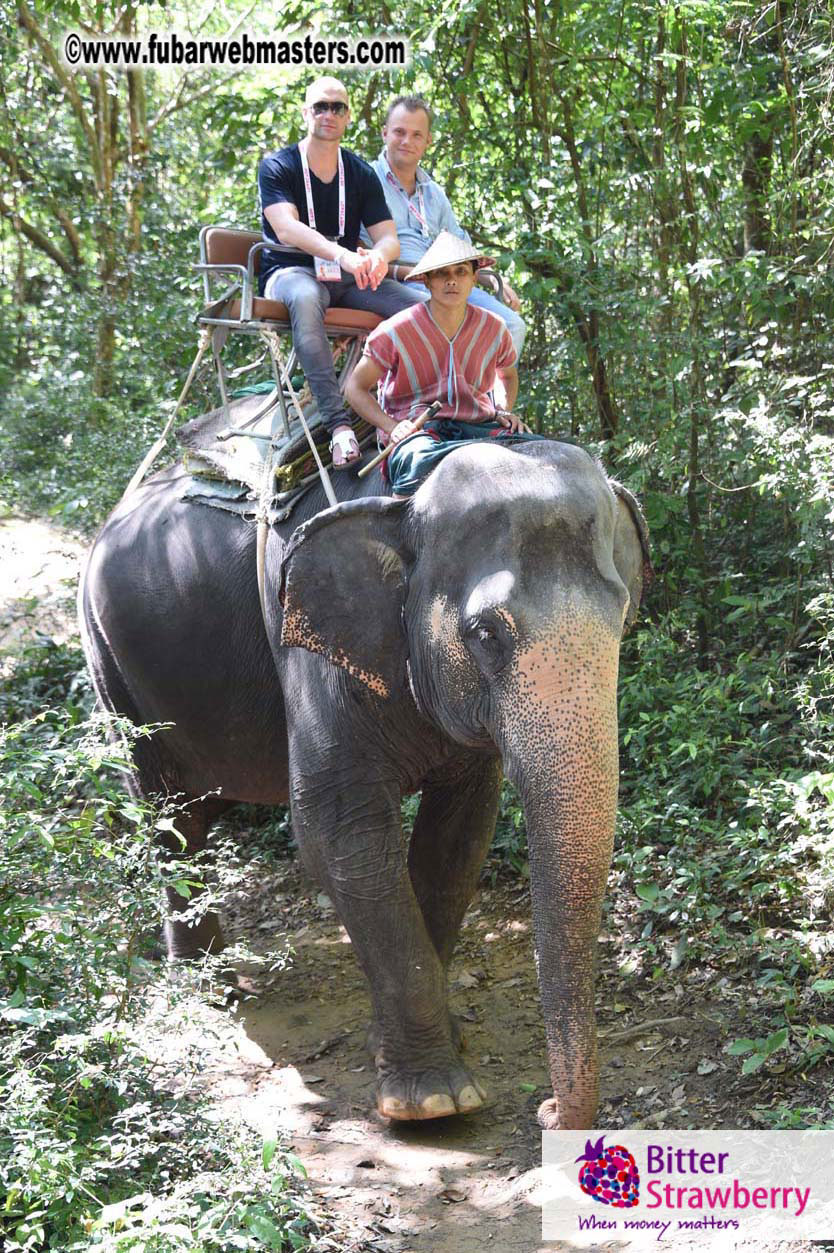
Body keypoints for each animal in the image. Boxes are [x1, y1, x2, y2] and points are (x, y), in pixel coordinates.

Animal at [78, 436, 649, 1129]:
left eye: (621, 616)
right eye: (486, 634)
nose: (544, 1110)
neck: (405, 499)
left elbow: (460, 834)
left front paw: (420, 1045)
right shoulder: (308, 643)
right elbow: (337, 829)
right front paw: (433, 1103)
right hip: (110, 666)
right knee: (168, 814)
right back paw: (209, 990)